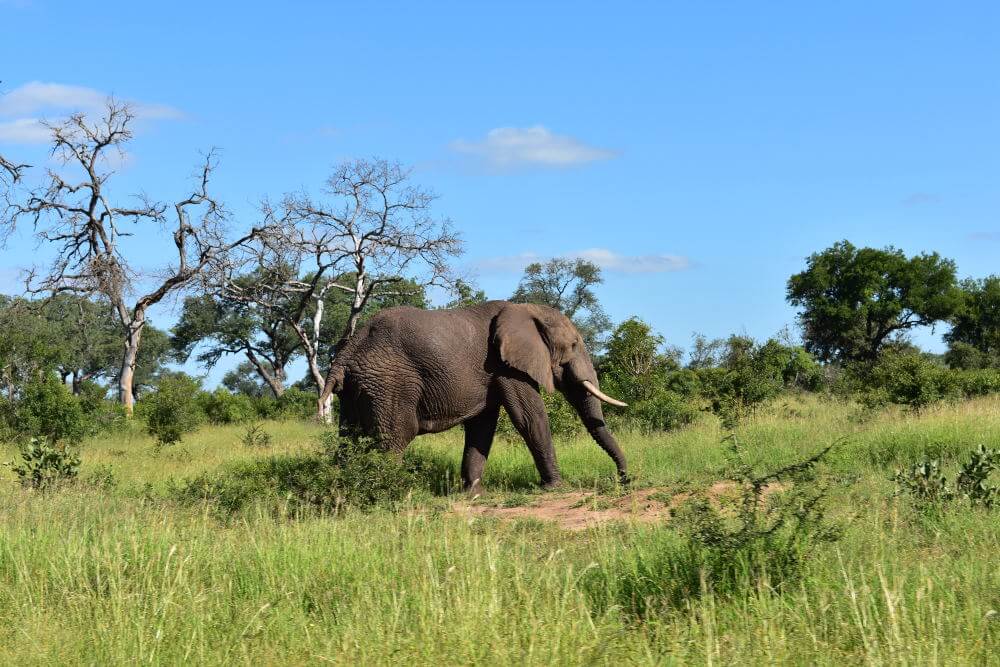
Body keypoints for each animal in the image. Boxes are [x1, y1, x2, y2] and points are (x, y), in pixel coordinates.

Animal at [324, 300, 628, 494]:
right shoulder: (505, 366)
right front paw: (555, 487)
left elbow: (482, 426)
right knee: (396, 437)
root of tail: (345, 356)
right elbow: (530, 418)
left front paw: (472, 494)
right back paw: (396, 493)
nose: (624, 480)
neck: (527, 308)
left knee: (348, 438)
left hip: (357, 389)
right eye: (574, 344)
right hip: (390, 383)